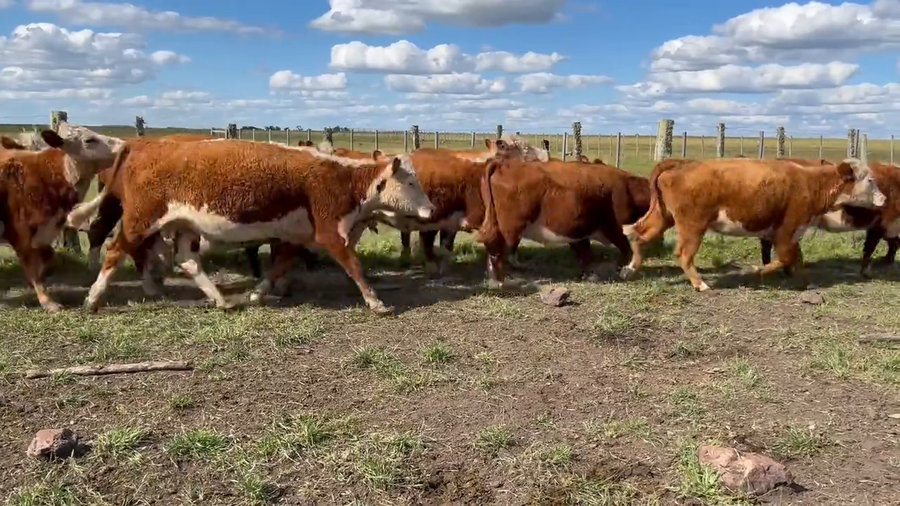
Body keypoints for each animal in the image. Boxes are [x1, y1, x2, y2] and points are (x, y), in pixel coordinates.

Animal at [0, 129, 125, 311]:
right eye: (89, 140)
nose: (125, 145)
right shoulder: (20, 235)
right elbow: (33, 270)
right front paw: (48, 302)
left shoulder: (43, 234)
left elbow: (50, 257)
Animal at [66, 139, 436, 315]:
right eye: (411, 183)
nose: (431, 209)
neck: (342, 178)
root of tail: (140, 145)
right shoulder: (329, 233)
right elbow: (354, 267)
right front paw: (376, 302)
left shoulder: (296, 236)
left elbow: (278, 265)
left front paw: (258, 292)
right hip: (139, 221)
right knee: (115, 250)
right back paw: (93, 298)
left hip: (184, 224)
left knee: (188, 261)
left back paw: (222, 300)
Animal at [476, 157, 651, 287]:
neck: (628, 188)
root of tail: (504, 165)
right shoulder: (615, 228)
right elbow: (625, 250)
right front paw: (624, 270)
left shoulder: (578, 231)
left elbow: (585, 253)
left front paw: (590, 275)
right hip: (511, 229)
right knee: (499, 251)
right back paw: (501, 281)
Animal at [621, 157, 886, 291]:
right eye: (870, 180)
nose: (884, 199)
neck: (810, 183)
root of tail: (678, 165)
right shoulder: (786, 230)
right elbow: (786, 258)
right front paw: (758, 271)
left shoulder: (792, 233)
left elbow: (796, 259)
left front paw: (805, 282)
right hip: (692, 225)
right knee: (684, 254)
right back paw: (701, 284)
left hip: (663, 217)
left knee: (639, 235)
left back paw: (630, 268)